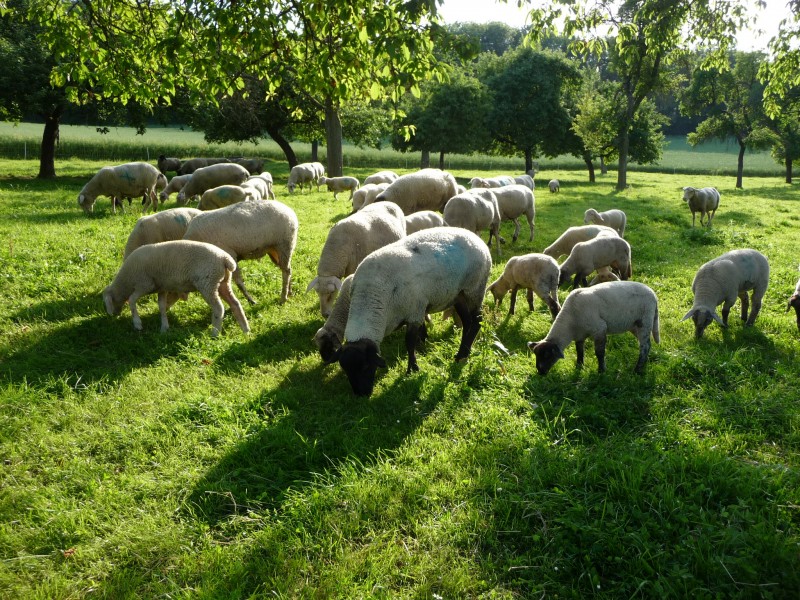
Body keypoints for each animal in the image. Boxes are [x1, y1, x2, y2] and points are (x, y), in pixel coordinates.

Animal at [102, 239, 250, 338]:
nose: (113, 315)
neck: (125, 281)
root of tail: (225, 259)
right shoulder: (161, 287)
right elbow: (161, 306)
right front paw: (164, 327)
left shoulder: (144, 284)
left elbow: (132, 300)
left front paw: (137, 324)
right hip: (223, 283)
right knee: (235, 304)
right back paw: (246, 329)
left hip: (208, 283)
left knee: (219, 308)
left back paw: (214, 333)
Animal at [332, 227, 494, 396]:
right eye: (346, 371)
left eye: (365, 367)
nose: (361, 394)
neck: (370, 297)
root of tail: (475, 237)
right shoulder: (416, 309)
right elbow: (418, 335)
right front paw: (422, 344)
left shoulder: (414, 312)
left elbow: (409, 343)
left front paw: (412, 369)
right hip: (458, 295)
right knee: (467, 321)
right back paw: (463, 352)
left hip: (474, 289)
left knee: (477, 321)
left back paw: (461, 355)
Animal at [528, 282, 660, 376]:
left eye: (547, 355)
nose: (540, 372)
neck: (570, 323)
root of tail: (653, 295)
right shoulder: (580, 335)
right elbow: (579, 351)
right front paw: (579, 366)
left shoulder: (600, 329)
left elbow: (599, 353)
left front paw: (601, 371)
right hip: (635, 325)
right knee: (647, 344)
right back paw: (644, 364)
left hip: (644, 321)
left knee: (645, 346)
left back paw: (637, 369)